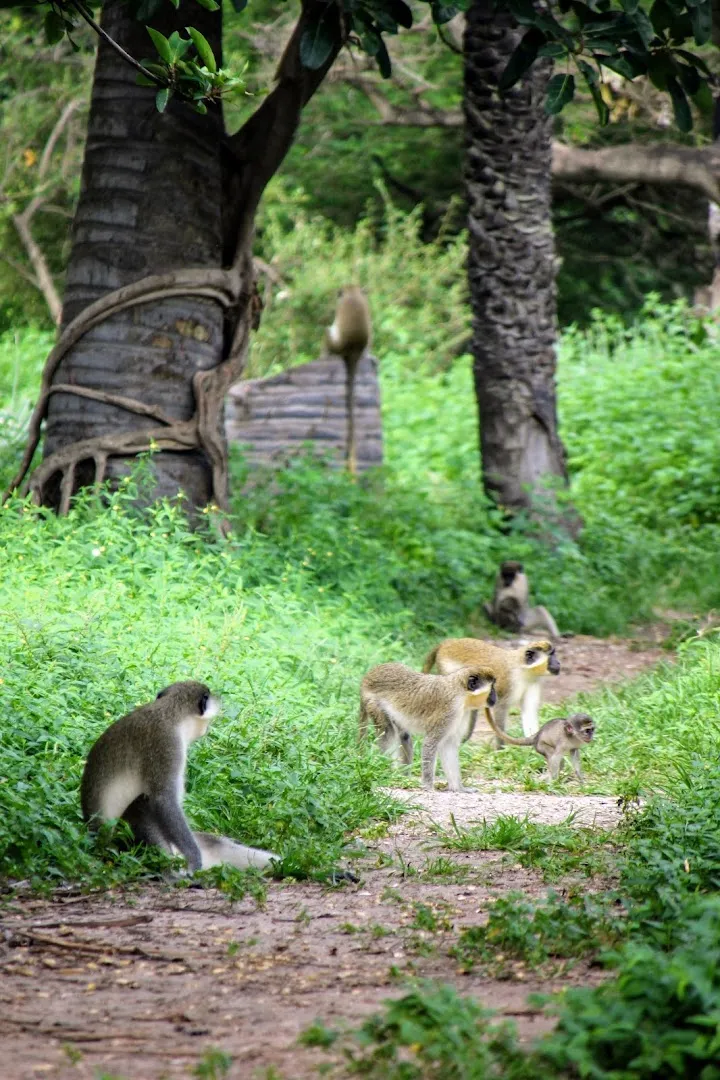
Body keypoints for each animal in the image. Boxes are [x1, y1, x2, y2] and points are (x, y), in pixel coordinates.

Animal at [81, 681, 277, 874]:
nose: (207, 729)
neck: (170, 713)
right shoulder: (167, 744)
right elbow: (163, 800)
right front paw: (194, 858)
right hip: (121, 842)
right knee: (140, 804)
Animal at [359, 662, 497, 792]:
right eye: (492, 688)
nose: (495, 697)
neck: (461, 693)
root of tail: (367, 678)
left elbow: (448, 745)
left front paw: (459, 788)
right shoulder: (449, 712)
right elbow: (430, 743)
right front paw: (428, 786)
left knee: (404, 735)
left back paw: (403, 776)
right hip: (373, 703)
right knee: (388, 732)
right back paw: (392, 773)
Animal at [423, 638, 560, 746]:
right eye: (551, 655)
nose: (558, 662)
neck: (524, 670)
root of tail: (448, 642)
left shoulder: (533, 682)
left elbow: (529, 711)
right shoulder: (507, 683)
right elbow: (500, 709)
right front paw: (501, 749)